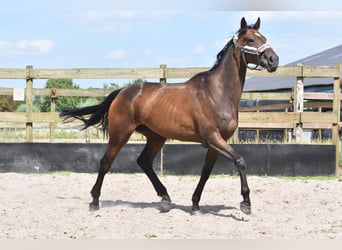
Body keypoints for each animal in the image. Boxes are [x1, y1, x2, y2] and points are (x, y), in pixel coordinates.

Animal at [59, 17, 278, 215]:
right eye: (250, 39)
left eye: (264, 37)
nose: (273, 59)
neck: (216, 92)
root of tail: (123, 92)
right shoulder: (212, 137)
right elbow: (240, 161)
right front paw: (246, 203)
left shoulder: (217, 142)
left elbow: (206, 172)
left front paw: (195, 205)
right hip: (120, 134)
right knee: (106, 162)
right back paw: (95, 202)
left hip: (156, 137)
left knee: (144, 162)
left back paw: (165, 198)